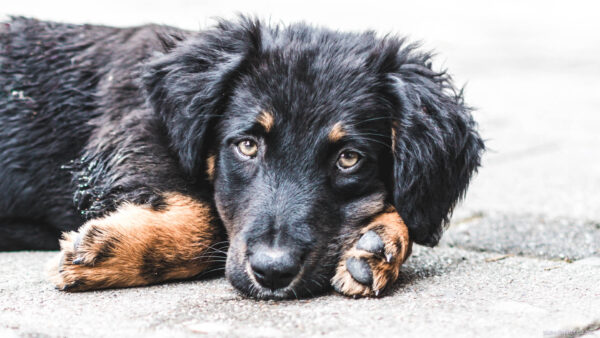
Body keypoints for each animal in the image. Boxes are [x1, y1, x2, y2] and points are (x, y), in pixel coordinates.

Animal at [0, 17, 486, 300]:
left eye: (349, 158)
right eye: (248, 145)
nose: (273, 273)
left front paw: (381, 244)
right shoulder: (128, 132)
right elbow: (210, 220)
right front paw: (105, 253)